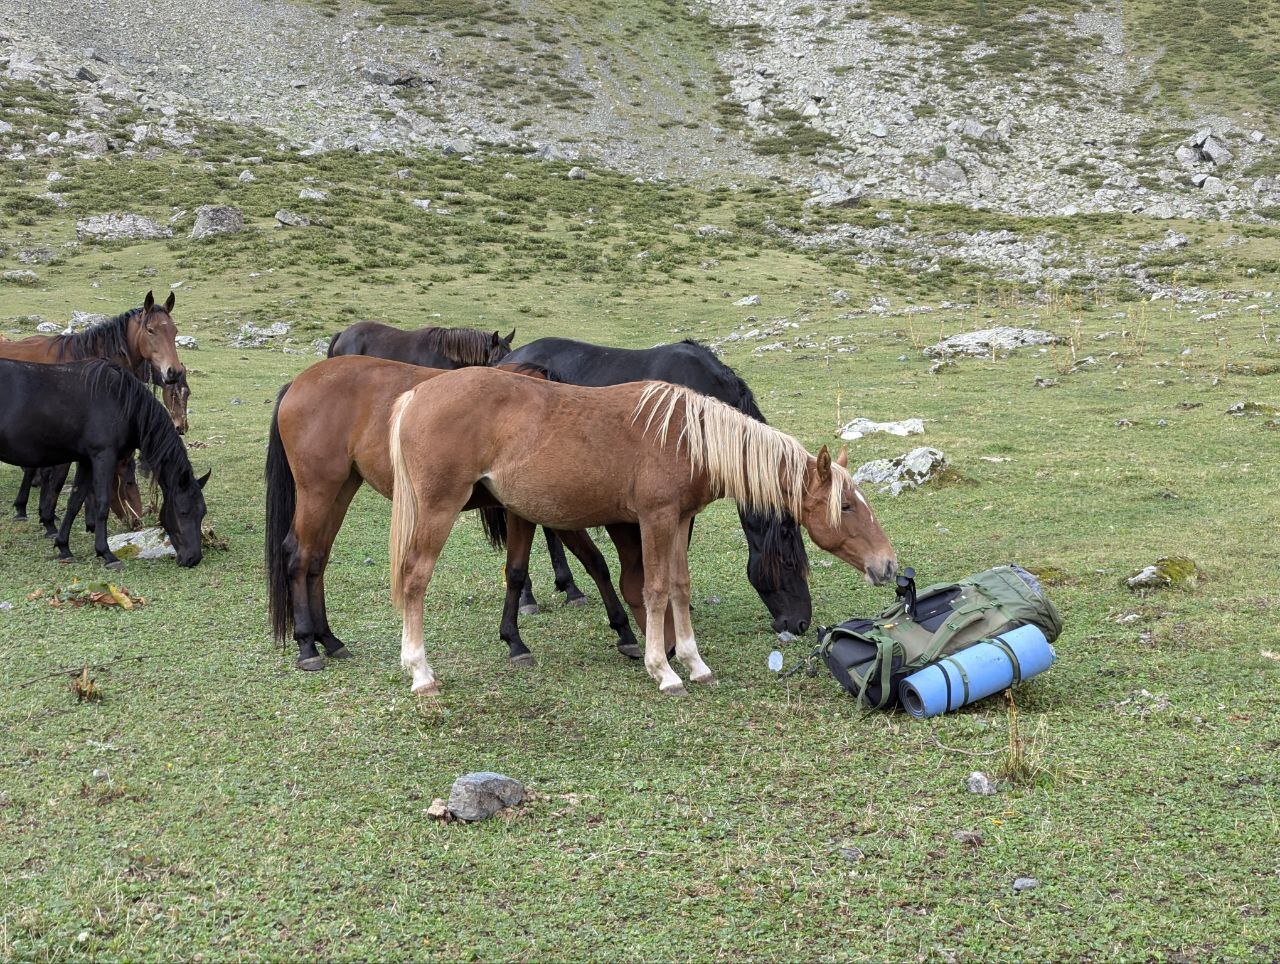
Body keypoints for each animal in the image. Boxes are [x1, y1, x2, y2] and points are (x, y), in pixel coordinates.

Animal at [0, 358, 209, 568]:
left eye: (202, 513)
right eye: (183, 512)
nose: (193, 558)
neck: (120, 400)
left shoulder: (86, 461)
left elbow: (75, 502)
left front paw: (64, 546)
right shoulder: (103, 457)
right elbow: (102, 503)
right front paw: (106, 553)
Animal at [264, 353, 640, 670]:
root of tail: (299, 383)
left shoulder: (531, 511)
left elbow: (569, 565)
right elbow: (570, 563)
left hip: (341, 489)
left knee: (318, 559)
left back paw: (329, 639)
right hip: (319, 490)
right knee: (299, 555)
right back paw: (307, 646)